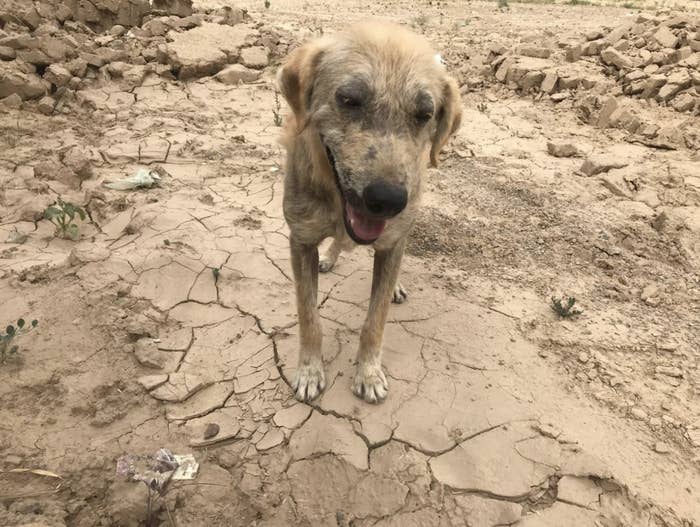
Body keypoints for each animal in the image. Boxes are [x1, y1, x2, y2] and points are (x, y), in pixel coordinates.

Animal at [276, 20, 462, 404]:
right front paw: (309, 370)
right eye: (349, 100)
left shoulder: (392, 242)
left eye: (425, 115)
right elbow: (308, 317)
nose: (387, 200)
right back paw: (331, 256)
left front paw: (369, 373)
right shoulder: (300, 240)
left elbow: (375, 320)